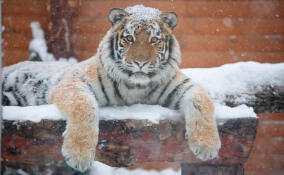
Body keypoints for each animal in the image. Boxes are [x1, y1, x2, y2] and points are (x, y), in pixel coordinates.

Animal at [1, 5, 221, 172]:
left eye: (154, 40)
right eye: (130, 38)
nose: (140, 62)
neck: (135, 86)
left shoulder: (184, 85)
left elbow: (202, 102)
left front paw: (207, 146)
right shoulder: (73, 83)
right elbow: (84, 107)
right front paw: (79, 155)